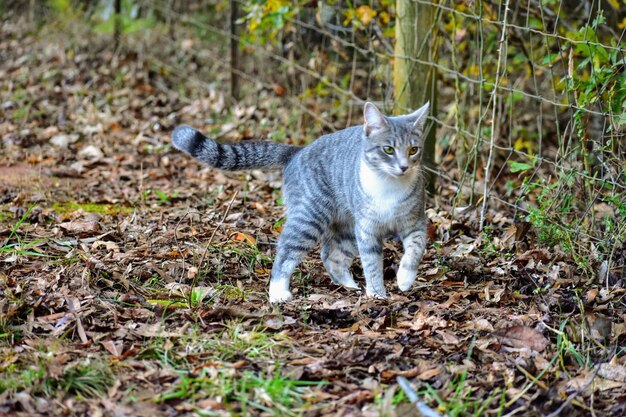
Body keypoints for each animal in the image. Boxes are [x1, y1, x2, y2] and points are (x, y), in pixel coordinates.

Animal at [173, 101, 432, 302]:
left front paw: (404, 279)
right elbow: (371, 262)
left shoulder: (415, 222)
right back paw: (278, 292)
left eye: (413, 149)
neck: (389, 187)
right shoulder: (367, 228)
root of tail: (297, 152)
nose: (404, 167)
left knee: (331, 255)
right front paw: (377, 293)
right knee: (286, 252)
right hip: (310, 217)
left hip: (346, 224)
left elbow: (415, 250)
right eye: (388, 149)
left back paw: (348, 284)